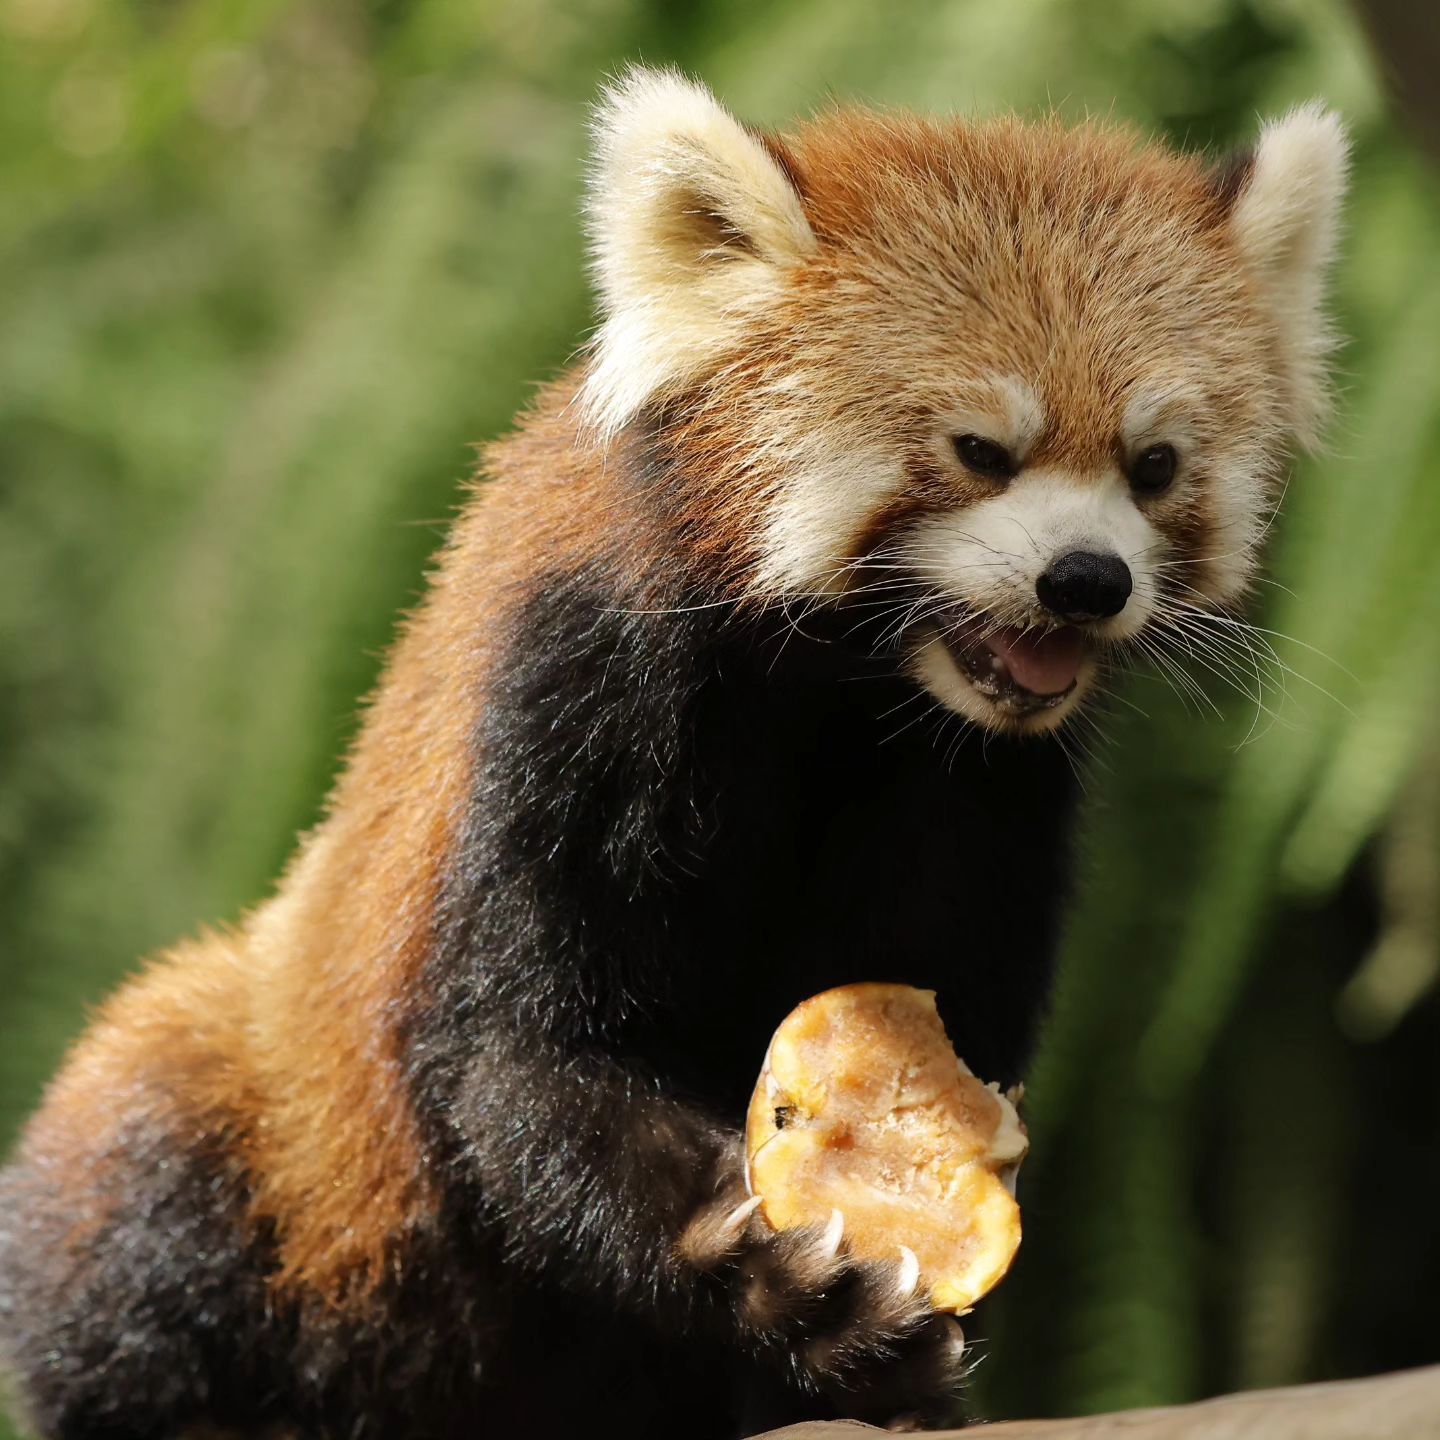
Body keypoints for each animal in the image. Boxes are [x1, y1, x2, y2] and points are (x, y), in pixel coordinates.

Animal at [0, 67, 1347, 1440]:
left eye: (1154, 466)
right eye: (981, 450)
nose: (1087, 580)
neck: (847, 690)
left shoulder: (978, 784)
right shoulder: (578, 687)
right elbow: (518, 1054)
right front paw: (779, 1279)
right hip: (255, 1130)